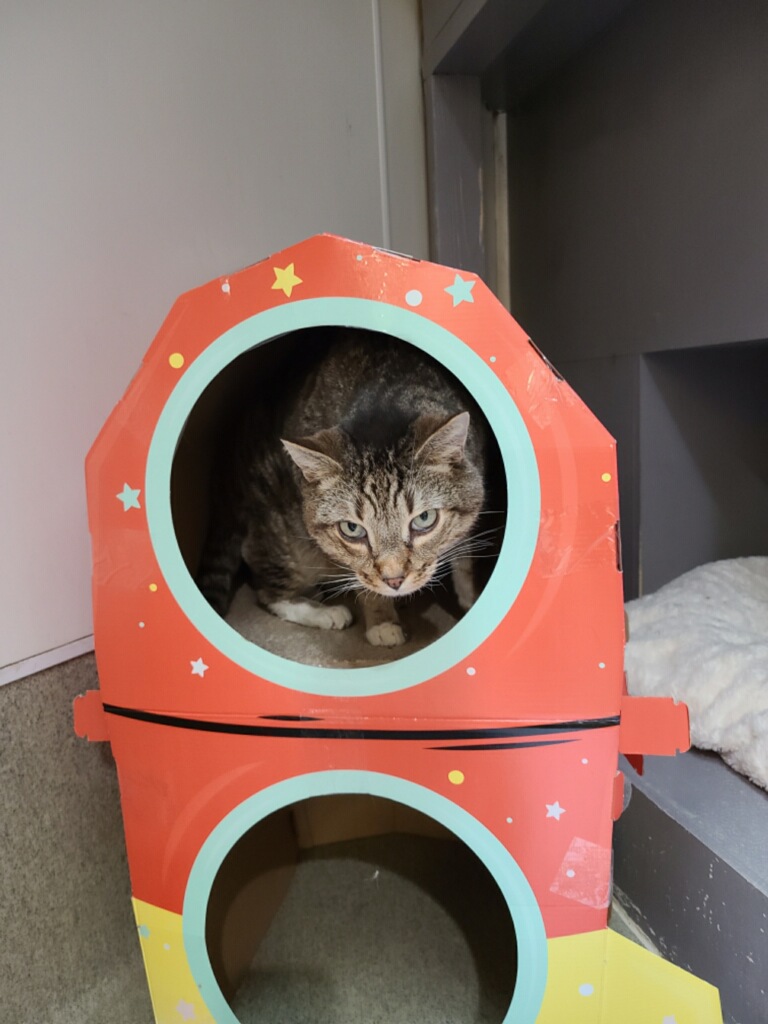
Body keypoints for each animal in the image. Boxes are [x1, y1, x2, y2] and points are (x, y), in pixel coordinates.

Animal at [196, 330, 487, 647]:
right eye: (352, 529)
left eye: (424, 519)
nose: (394, 581)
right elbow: (361, 574)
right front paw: (382, 621)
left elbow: (465, 557)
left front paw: (473, 599)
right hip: (284, 536)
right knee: (266, 585)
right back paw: (325, 611)